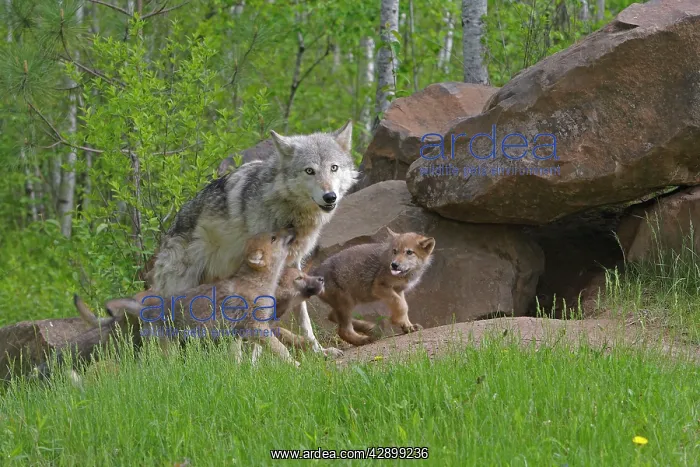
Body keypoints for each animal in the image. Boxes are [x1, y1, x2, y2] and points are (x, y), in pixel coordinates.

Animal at [148, 121, 358, 358]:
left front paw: (318, 351)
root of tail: (169, 232)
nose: (329, 196)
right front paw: (256, 362)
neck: (289, 211)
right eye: (309, 171)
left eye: (334, 168)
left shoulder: (293, 263)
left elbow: (304, 318)